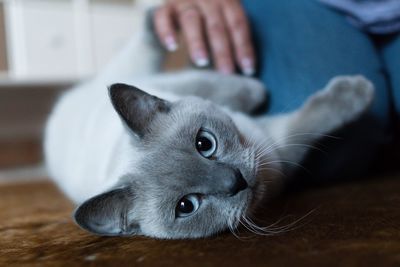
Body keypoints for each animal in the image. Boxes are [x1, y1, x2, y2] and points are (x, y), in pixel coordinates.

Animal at [44, 15, 376, 241]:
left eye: (205, 144)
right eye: (186, 206)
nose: (236, 182)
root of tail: (54, 117)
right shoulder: (280, 147)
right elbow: (311, 118)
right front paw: (360, 91)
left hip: (144, 79)